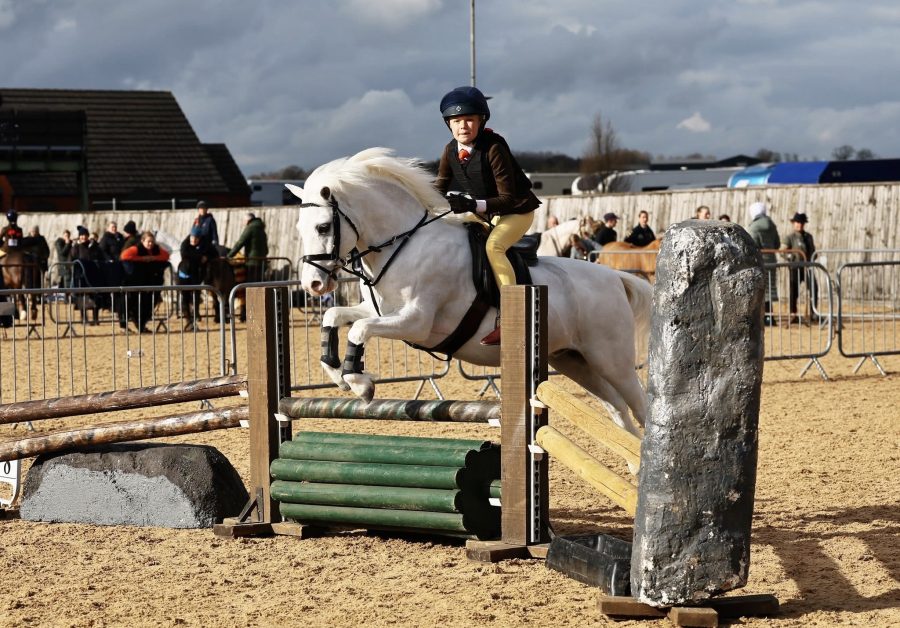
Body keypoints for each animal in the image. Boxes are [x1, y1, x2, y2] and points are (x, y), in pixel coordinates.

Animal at [288, 148, 653, 438]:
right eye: (299, 229)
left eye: (323, 227)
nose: (312, 285)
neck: (403, 243)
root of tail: (616, 278)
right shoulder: (380, 311)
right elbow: (335, 316)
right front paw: (339, 375)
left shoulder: (416, 321)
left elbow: (360, 330)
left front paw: (360, 382)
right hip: (573, 360)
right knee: (616, 408)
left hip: (611, 359)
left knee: (638, 404)